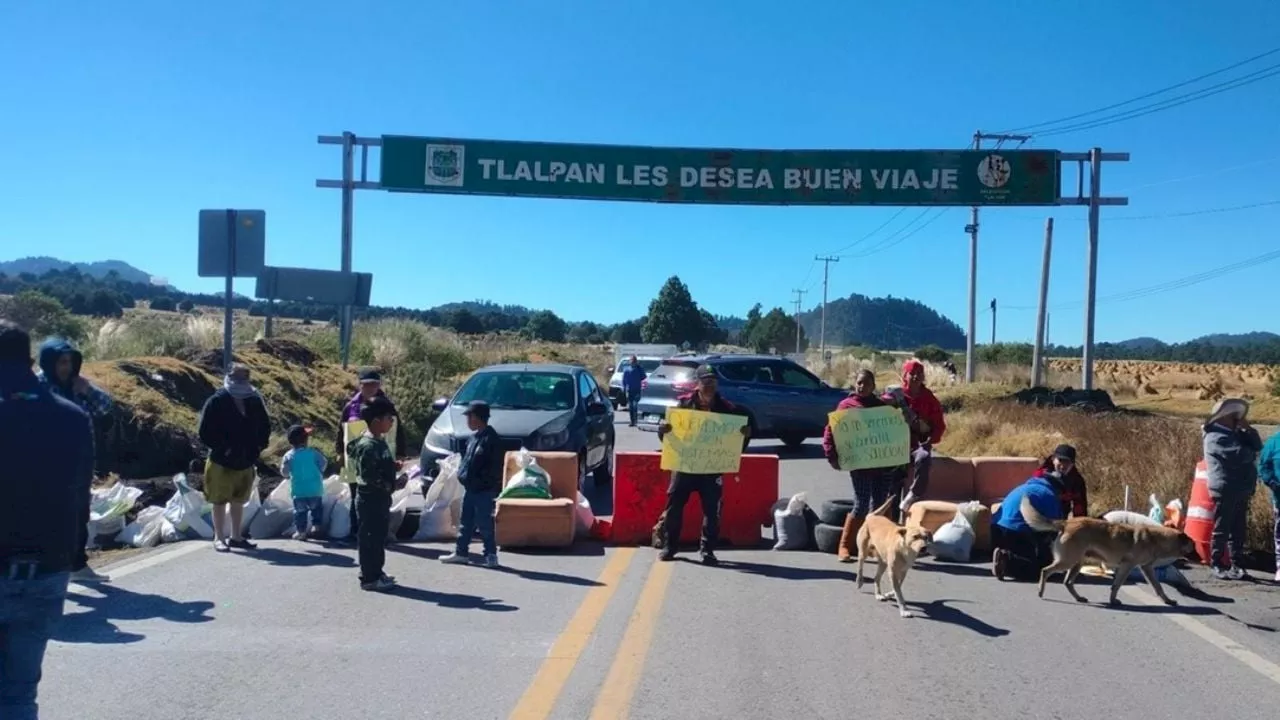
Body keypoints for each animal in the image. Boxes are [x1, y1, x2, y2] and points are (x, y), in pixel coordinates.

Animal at [1018, 491, 1198, 604]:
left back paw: (1079, 598)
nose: (1202, 559)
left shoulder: (1146, 569)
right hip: (1068, 561)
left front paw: (1167, 600)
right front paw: (1113, 600)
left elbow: (1158, 587)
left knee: (1067, 582)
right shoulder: (1127, 566)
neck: (1157, 539)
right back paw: (1041, 591)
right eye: (1193, 546)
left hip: (1077, 562)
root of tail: (1066, 523)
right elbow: (1116, 585)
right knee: (1045, 571)